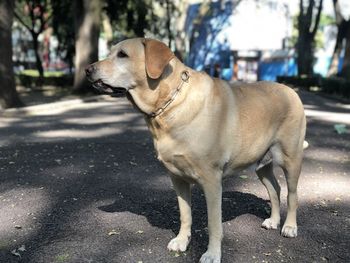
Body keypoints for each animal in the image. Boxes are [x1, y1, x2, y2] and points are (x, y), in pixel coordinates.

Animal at [85, 38, 306, 262]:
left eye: (122, 54)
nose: (87, 69)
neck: (170, 104)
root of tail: (290, 90)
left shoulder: (212, 181)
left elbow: (213, 223)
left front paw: (212, 254)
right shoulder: (177, 178)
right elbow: (185, 214)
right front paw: (182, 241)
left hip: (290, 159)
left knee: (292, 194)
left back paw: (289, 226)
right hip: (261, 163)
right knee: (275, 189)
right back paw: (273, 220)